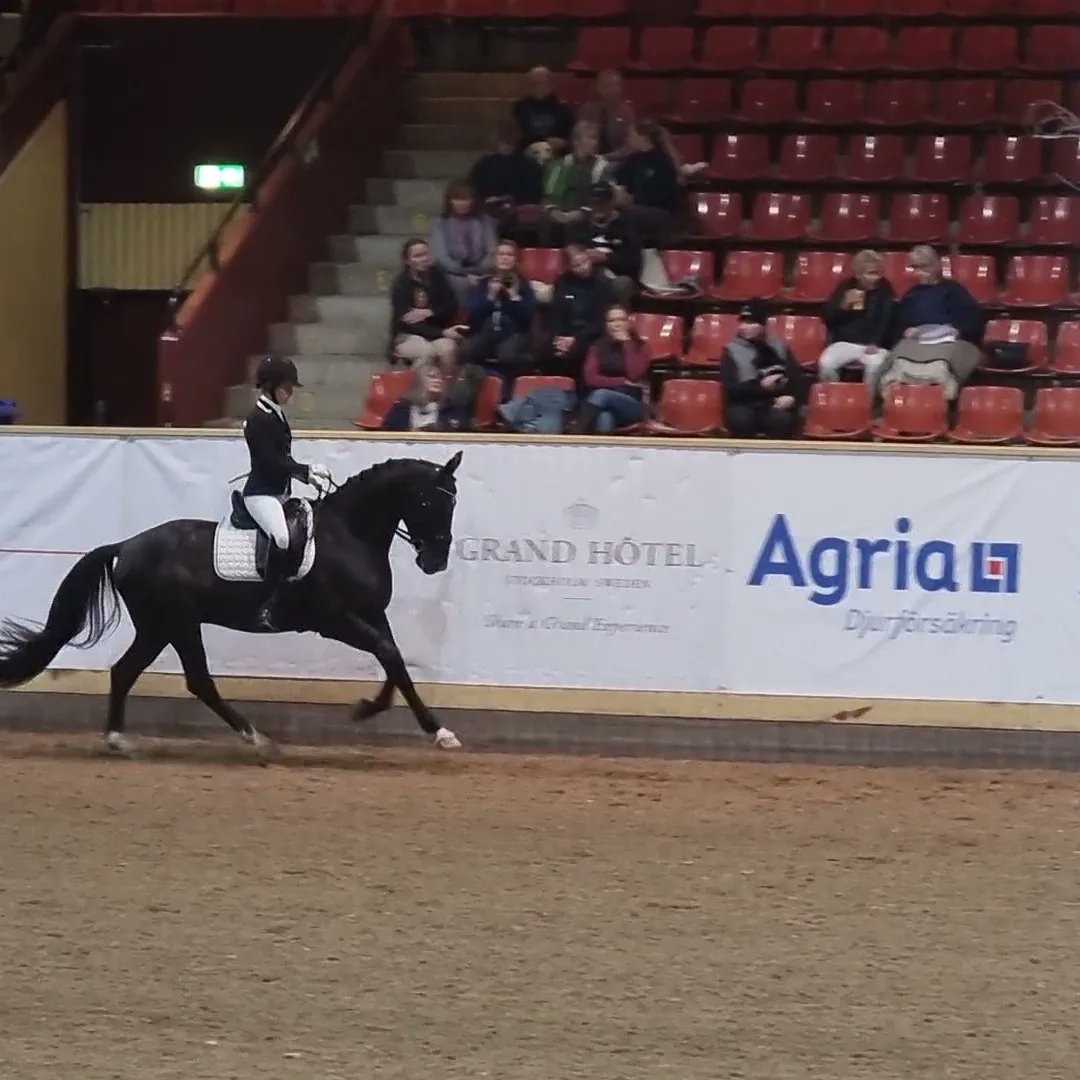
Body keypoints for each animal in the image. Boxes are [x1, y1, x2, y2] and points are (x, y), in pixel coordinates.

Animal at [0, 452, 464, 756]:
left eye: (453, 503)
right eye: (428, 501)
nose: (435, 561)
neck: (348, 534)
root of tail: (126, 545)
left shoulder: (371, 614)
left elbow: (395, 661)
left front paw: (392, 715)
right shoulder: (335, 619)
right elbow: (388, 654)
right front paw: (398, 719)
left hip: (158, 626)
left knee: (125, 671)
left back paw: (117, 738)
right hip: (178, 623)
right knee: (197, 681)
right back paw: (255, 738)